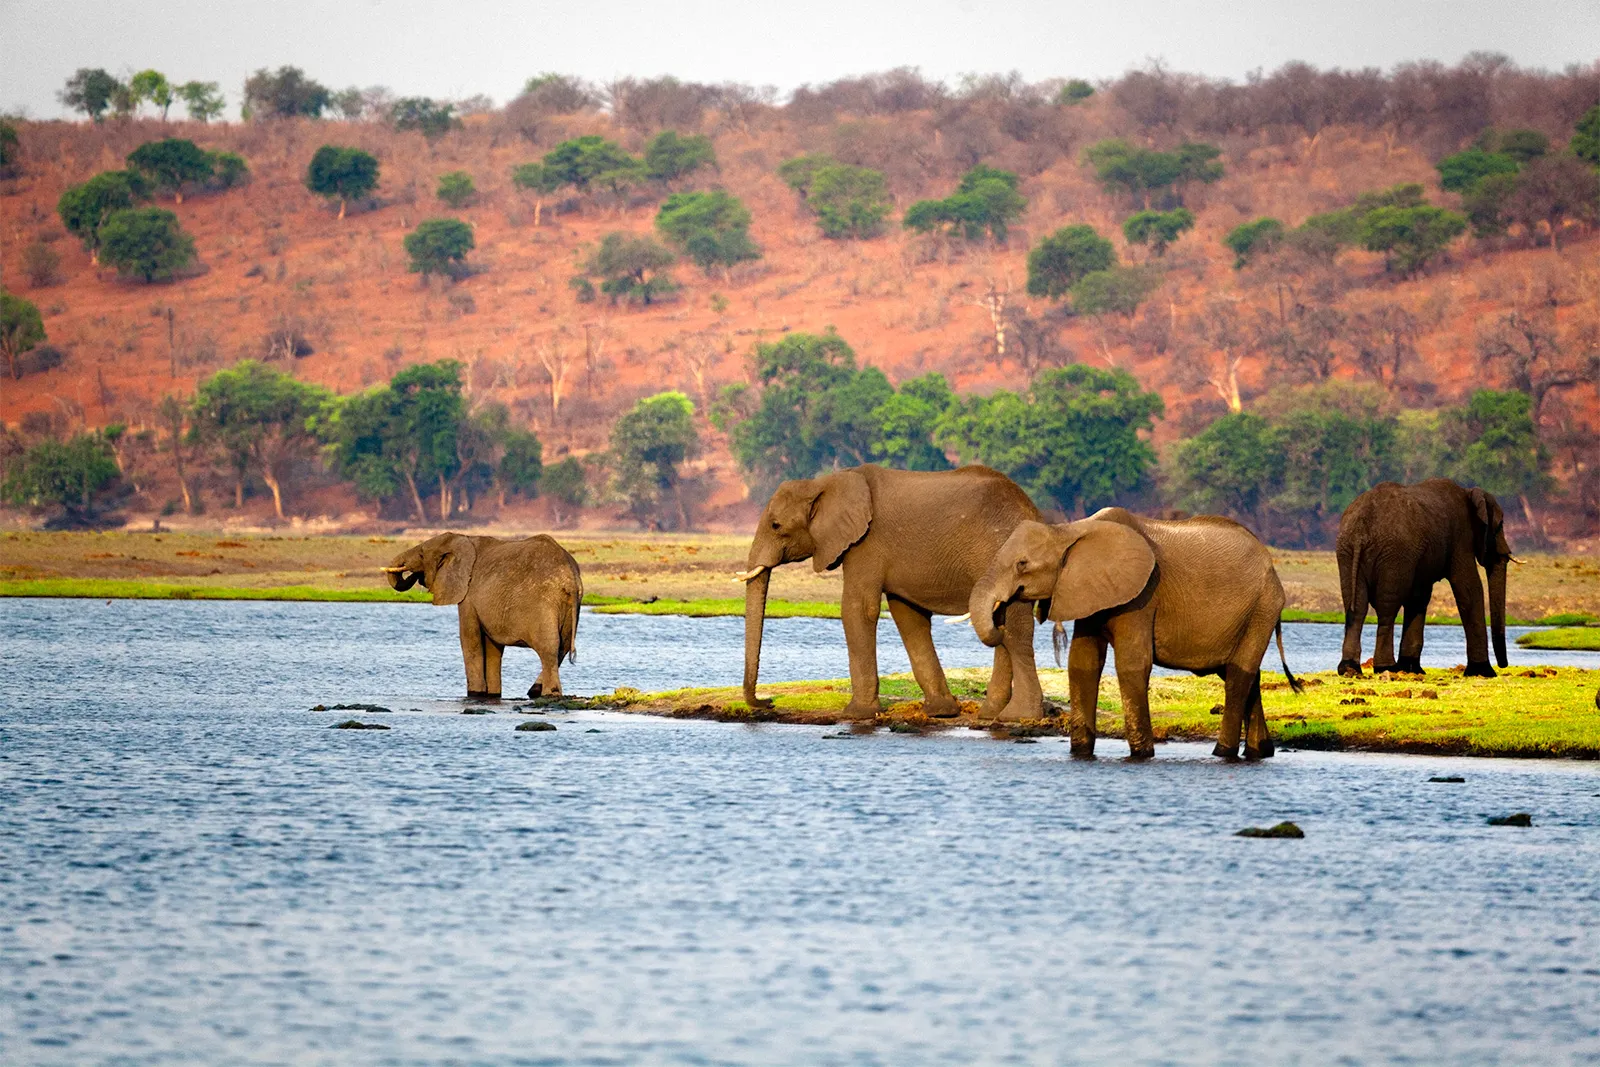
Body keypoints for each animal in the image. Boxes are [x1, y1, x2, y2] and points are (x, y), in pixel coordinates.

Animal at [383, 532, 582, 699]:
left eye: (422, 554)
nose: (415, 576)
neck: (462, 538)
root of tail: (570, 577)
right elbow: (493, 648)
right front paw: (492, 695)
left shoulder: (468, 595)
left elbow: (469, 639)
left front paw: (474, 694)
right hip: (570, 607)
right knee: (563, 647)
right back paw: (535, 691)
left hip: (544, 604)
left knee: (549, 648)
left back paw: (548, 694)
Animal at [738, 464, 1043, 721]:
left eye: (776, 525)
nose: (768, 702)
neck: (823, 483)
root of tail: (1032, 509)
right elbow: (908, 617)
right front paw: (940, 712)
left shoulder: (865, 543)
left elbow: (857, 608)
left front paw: (856, 714)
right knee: (1003, 625)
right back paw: (991, 714)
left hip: (1007, 557)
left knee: (1016, 630)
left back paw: (1016, 716)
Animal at [968, 510, 1300, 761]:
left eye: (1022, 564)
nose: (1000, 617)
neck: (1070, 530)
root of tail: (1271, 565)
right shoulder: (1089, 591)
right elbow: (1082, 664)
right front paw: (1081, 752)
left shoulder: (1142, 596)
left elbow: (1131, 663)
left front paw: (1142, 754)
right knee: (1245, 675)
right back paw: (1260, 752)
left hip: (1263, 605)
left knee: (1238, 676)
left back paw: (1222, 752)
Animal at [1336, 479, 1511, 679]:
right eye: (1500, 526)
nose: (1503, 665)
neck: (1469, 492)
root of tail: (1361, 528)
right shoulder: (1461, 538)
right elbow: (1469, 588)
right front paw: (1483, 672)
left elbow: (1418, 598)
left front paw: (1411, 668)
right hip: (1394, 553)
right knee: (1386, 608)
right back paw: (1385, 667)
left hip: (1348, 550)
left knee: (1357, 608)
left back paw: (1349, 669)